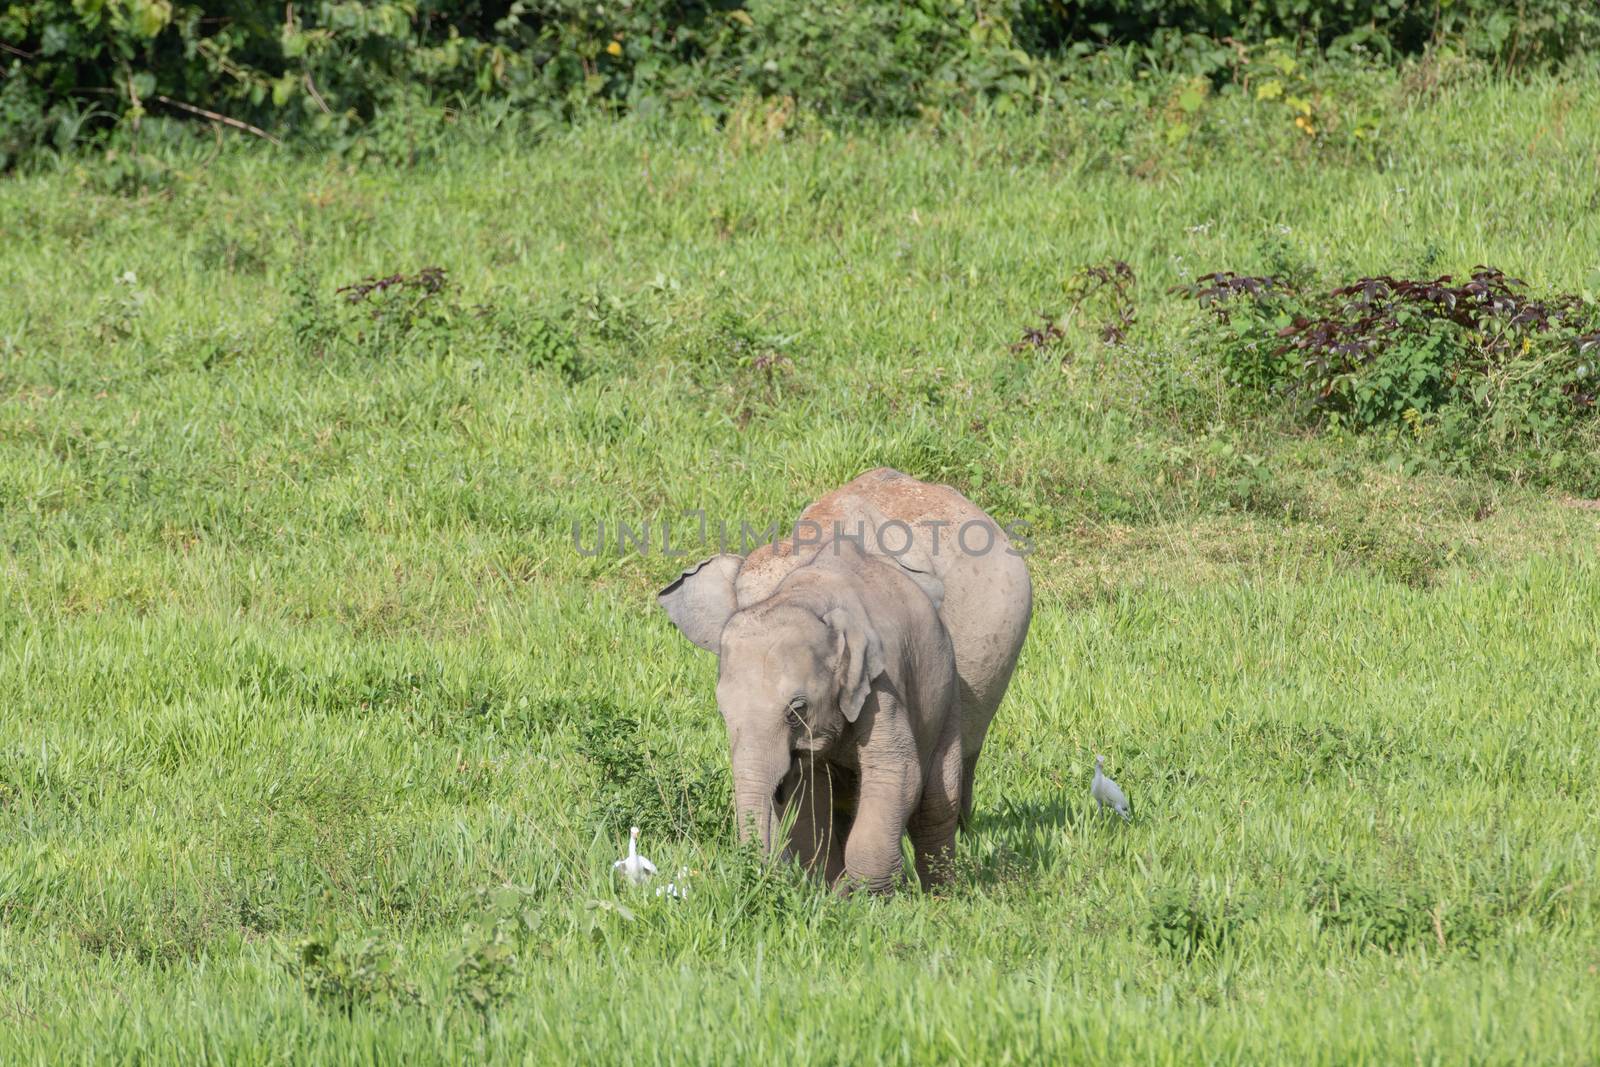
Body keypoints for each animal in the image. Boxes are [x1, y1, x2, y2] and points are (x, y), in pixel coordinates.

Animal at [662, 537, 960, 895]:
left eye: (797, 709)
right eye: (723, 712)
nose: (762, 874)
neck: (809, 600)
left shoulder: (881, 682)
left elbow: (896, 769)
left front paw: (867, 894)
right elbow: (807, 792)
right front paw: (829, 890)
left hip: (947, 695)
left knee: (937, 801)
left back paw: (940, 895)